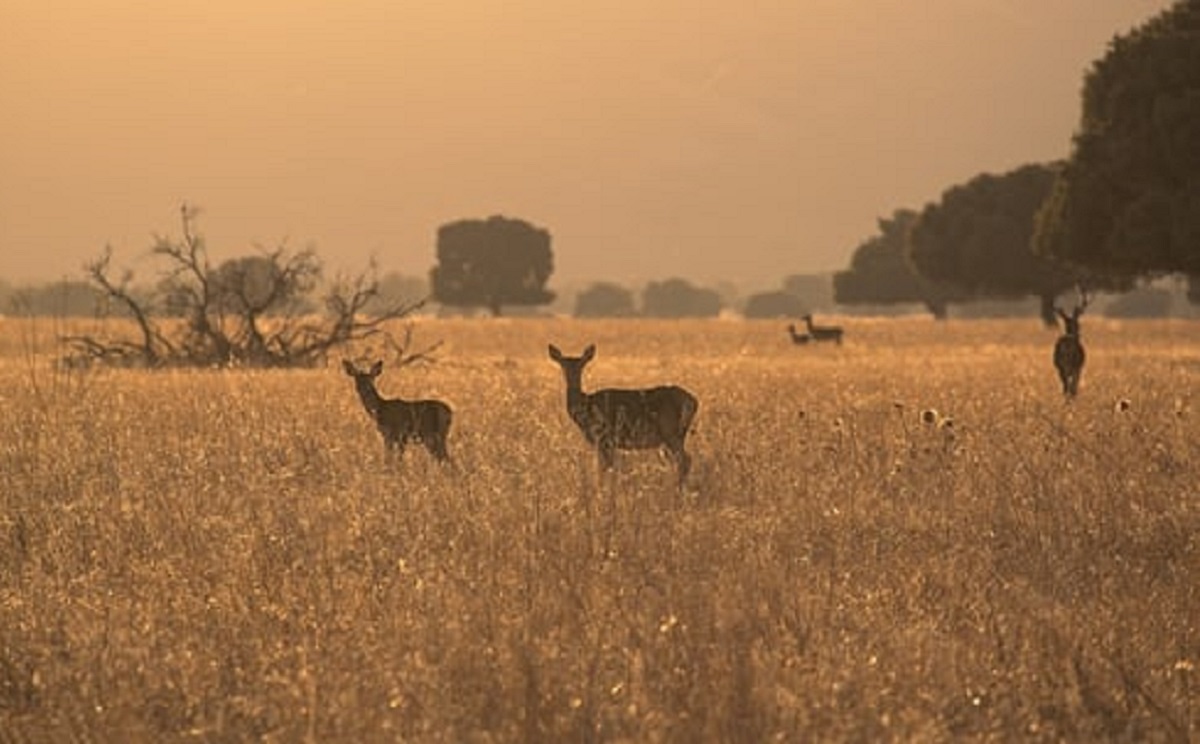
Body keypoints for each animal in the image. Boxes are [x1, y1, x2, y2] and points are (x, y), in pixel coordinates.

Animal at [548, 344, 699, 488]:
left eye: (581, 365)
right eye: (563, 365)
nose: (572, 380)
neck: (586, 406)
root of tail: (694, 401)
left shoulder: (605, 438)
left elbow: (605, 468)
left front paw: (603, 489)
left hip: (670, 431)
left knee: (685, 460)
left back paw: (678, 489)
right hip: (674, 436)